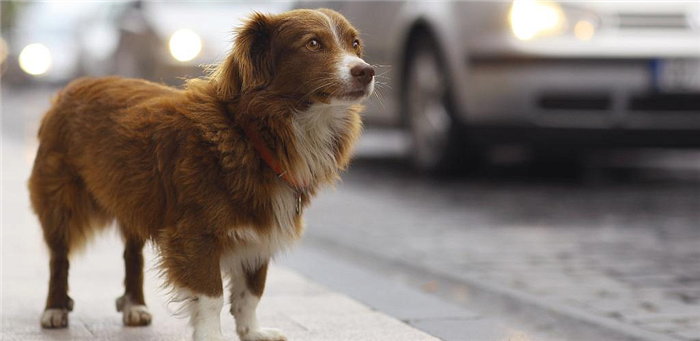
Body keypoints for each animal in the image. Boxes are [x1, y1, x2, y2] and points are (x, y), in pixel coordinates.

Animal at [28, 8, 372, 340]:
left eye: (355, 45)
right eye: (313, 44)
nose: (366, 71)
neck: (251, 133)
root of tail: (72, 87)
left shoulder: (262, 230)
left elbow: (251, 292)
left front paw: (252, 331)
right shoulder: (196, 234)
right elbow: (211, 296)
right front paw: (211, 335)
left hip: (133, 197)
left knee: (133, 255)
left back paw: (134, 306)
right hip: (60, 201)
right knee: (59, 258)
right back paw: (55, 309)